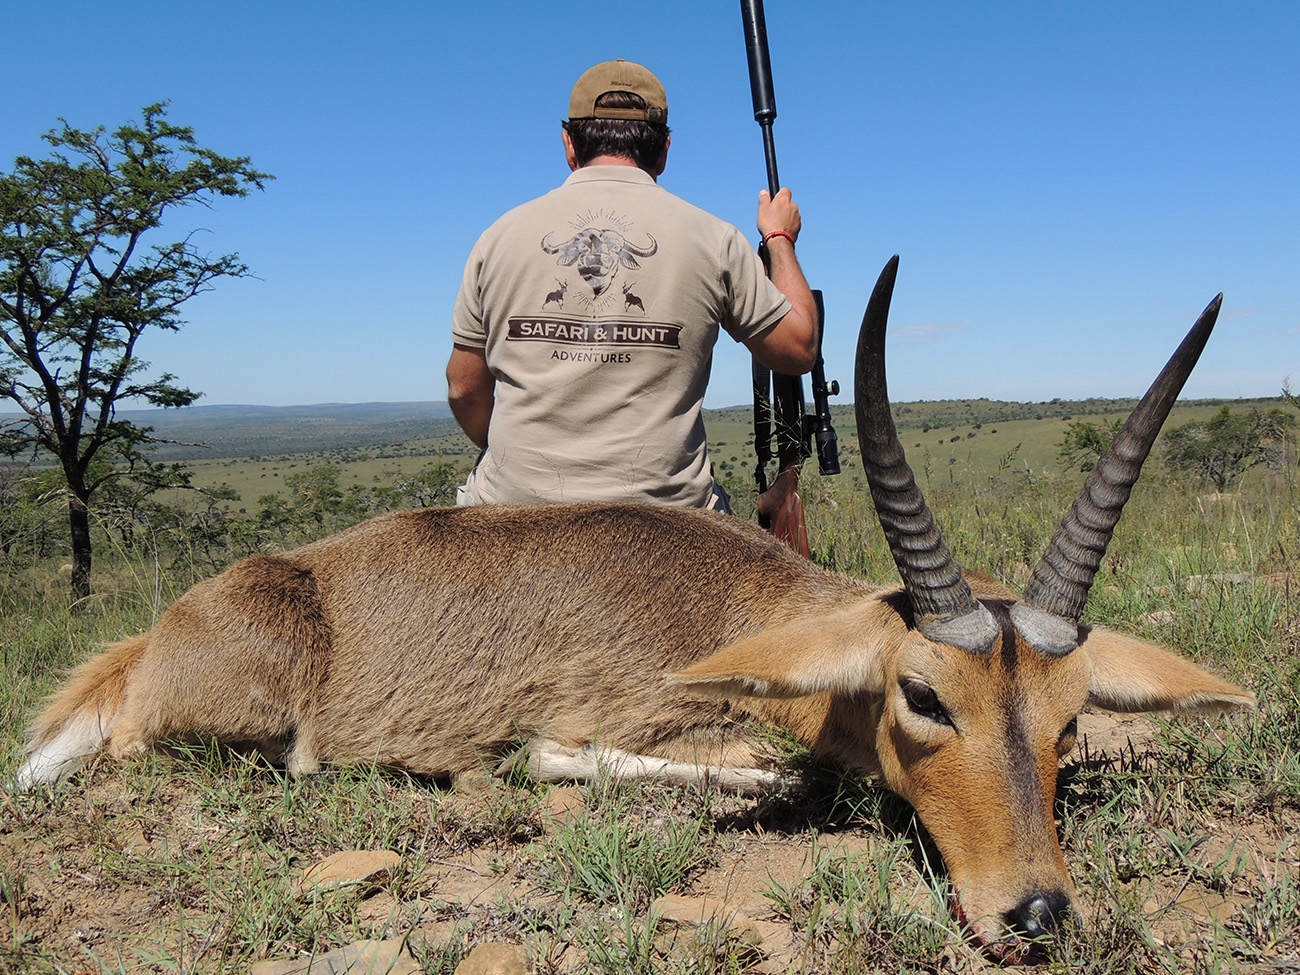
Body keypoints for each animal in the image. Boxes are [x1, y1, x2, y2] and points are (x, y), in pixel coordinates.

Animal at [15, 256, 1253, 956]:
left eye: (1069, 718)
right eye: (923, 695)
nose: (1034, 914)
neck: (748, 601)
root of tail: (161, 634)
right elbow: (737, 769)